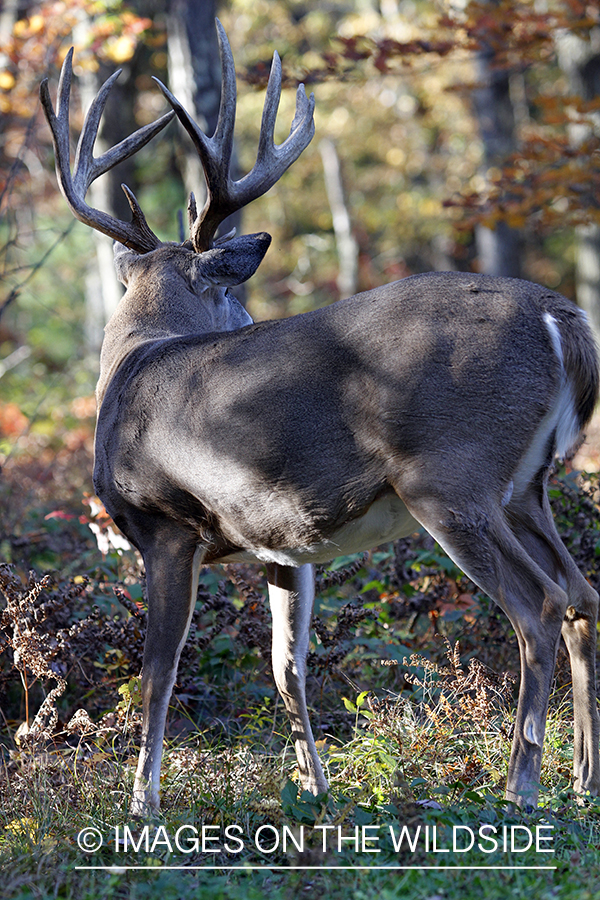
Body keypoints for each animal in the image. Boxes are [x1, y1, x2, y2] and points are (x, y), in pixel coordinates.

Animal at [39, 19, 596, 816]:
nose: (248, 315)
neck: (131, 364)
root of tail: (562, 319)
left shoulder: (167, 525)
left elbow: (156, 672)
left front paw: (141, 805)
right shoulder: (281, 545)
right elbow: (287, 668)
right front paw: (315, 787)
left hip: (450, 474)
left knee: (539, 607)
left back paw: (519, 787)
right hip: (529, 485)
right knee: (581, 595)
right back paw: (582, 779)